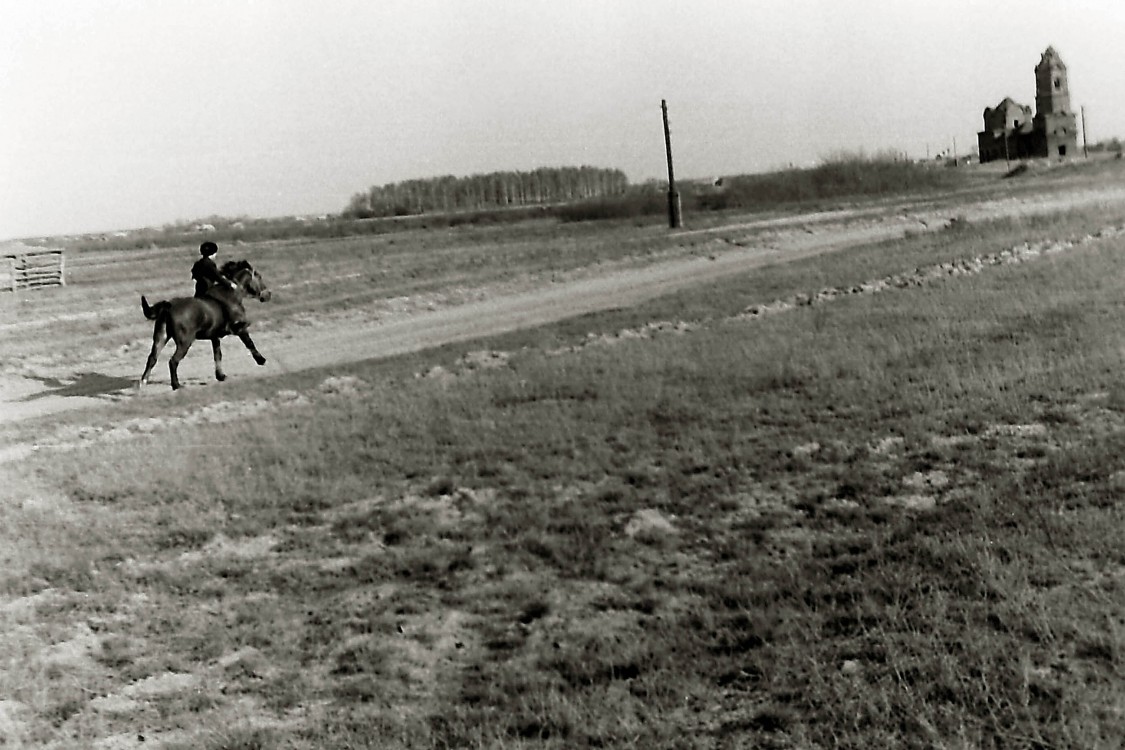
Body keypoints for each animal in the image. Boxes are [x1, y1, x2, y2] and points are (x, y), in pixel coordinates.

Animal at [139, 259, 273, 391]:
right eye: (259, 276)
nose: (268, 295)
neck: (232, 294)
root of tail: (169, 306)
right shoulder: (240, 329)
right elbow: (249, 343)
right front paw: (261, 360)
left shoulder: (215, 336)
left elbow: (217, 354)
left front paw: (221, 376)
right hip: (184, 343)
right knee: (173, 361)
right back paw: (176, 385)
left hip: (161, 337)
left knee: (152, 358)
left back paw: (143, 382)